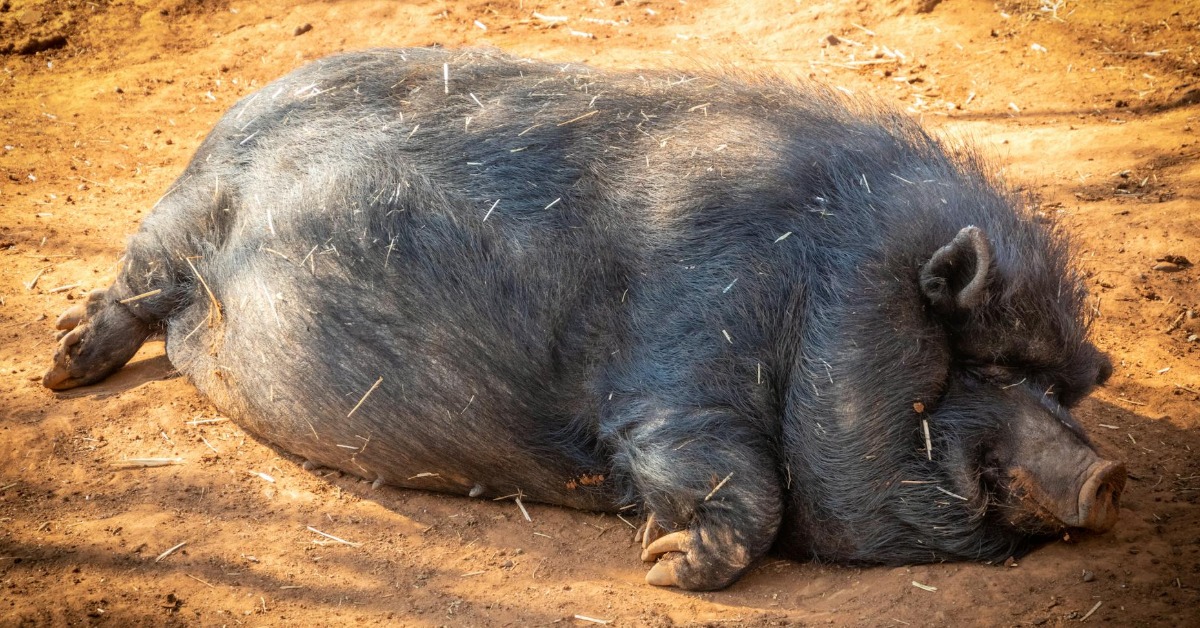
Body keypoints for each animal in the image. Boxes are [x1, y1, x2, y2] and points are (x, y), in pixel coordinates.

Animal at [39, 48, 1123, 590]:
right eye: (987, 363)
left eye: (1060, 385)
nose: (1109, 475)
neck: (818, 294)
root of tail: (225, 119)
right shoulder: (676, 377)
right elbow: (746, 484)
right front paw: (660, 567)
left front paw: (658, 558)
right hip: (176, 221)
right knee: (130, 288)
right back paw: (60, 370)